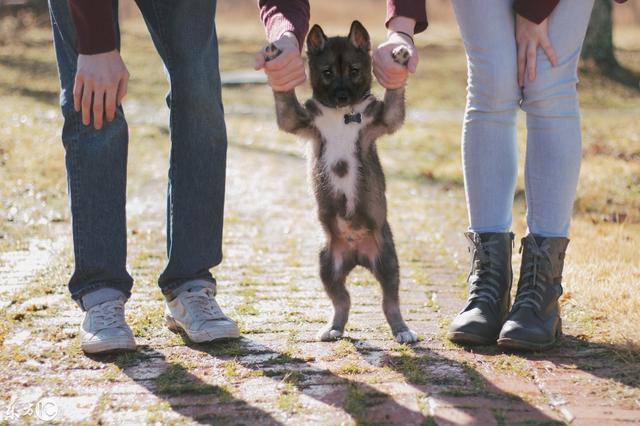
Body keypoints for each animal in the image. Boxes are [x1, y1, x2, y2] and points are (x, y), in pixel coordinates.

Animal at [268, 21, 418, 344]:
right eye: (326, 72)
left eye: (354, 70)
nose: (341, 96)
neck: (341, 116)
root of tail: (357, 252)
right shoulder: (297, 120)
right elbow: (284, 96)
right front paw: (275, 58)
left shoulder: (384, 119)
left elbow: (394, 94)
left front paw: (399, 58)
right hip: (327, 264)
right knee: (343, 301)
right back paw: (334, 327)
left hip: (388, 261)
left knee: (390, 302)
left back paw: (402, 330)